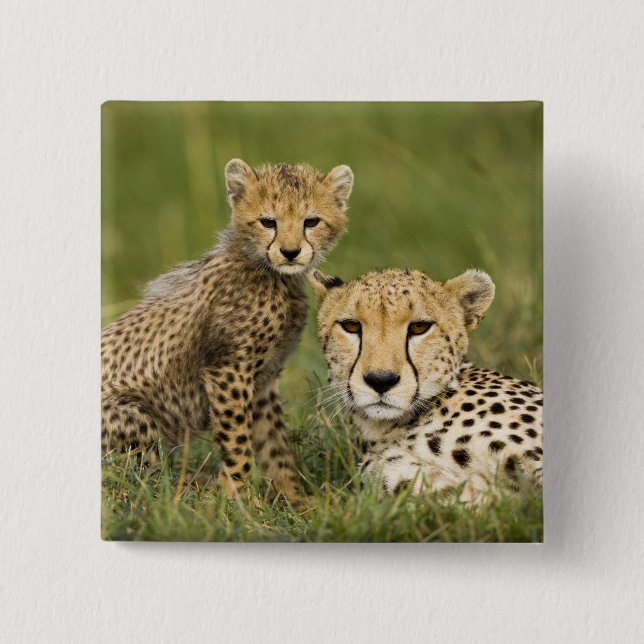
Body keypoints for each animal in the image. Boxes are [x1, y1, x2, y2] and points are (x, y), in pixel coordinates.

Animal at [101, 158, 353, 505]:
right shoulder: (228, 371)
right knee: (139, 485)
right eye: (268, 222)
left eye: (311, 221)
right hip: (130, 412)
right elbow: (238, 442)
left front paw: (294, 499)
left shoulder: (263, 380)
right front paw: (238, 501)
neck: (270, 274)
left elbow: (274, 444)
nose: (290, 252)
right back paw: (193, 490)